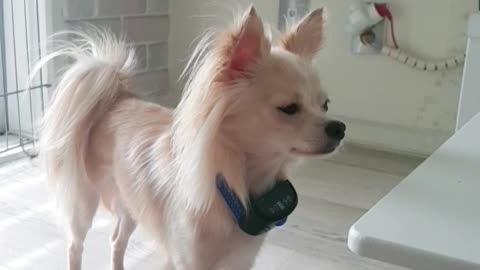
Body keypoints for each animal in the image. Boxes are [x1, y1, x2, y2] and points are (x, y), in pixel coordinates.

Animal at [36, 5, 344, 270]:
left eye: (325, 105)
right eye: (289, 108)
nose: (339, 128)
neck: (236, 181)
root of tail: (115, 100)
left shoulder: (239, 262)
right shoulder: (186, 260)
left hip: (130, 202)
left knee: (116, 241)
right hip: (84, 204)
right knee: (75, 246)